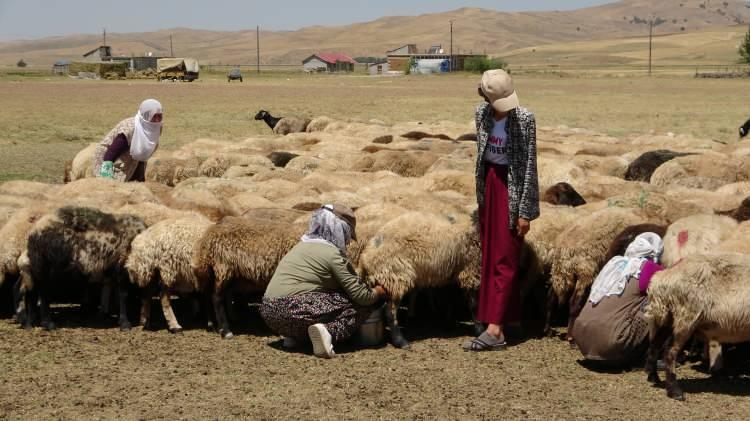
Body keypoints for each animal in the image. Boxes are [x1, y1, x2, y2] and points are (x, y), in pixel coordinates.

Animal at [360, 213, 482, 348]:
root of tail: (366, 257)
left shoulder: (454, 271)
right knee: (390, 312)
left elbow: (451, 298)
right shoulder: (471, 270)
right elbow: (474, 303)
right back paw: (400, 341)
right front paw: (479, 329)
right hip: (396, 277)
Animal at [644, 253, 750, 400]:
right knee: (669, 351)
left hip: (667, 319)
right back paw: (675, 391)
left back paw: (654, 378)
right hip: (685, 317)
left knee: (654, 346)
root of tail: (660, 279)